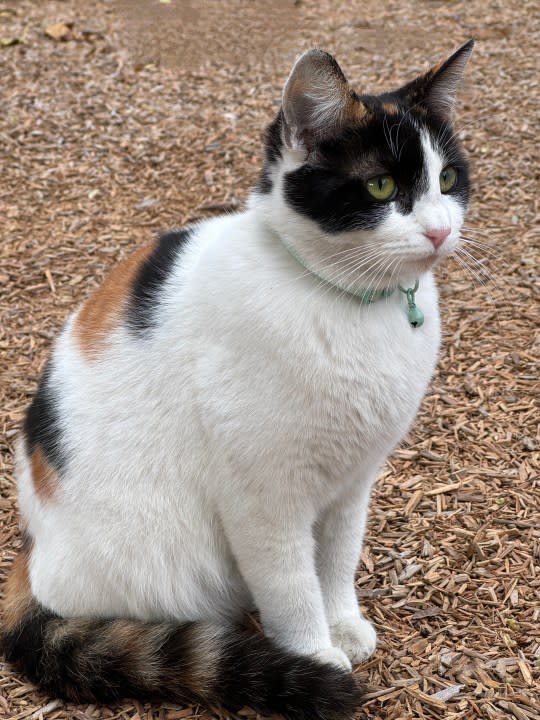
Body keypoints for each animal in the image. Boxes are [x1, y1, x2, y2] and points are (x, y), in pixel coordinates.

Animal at [1, 40, 472, 720]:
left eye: (449, 180)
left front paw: (342, 623)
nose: (440, 230)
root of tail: (32, 549)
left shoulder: (352, 482)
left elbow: (336, 562)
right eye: (381, 185)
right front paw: (314, 652)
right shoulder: (264, 498)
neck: (350, 303)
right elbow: (291, 584)